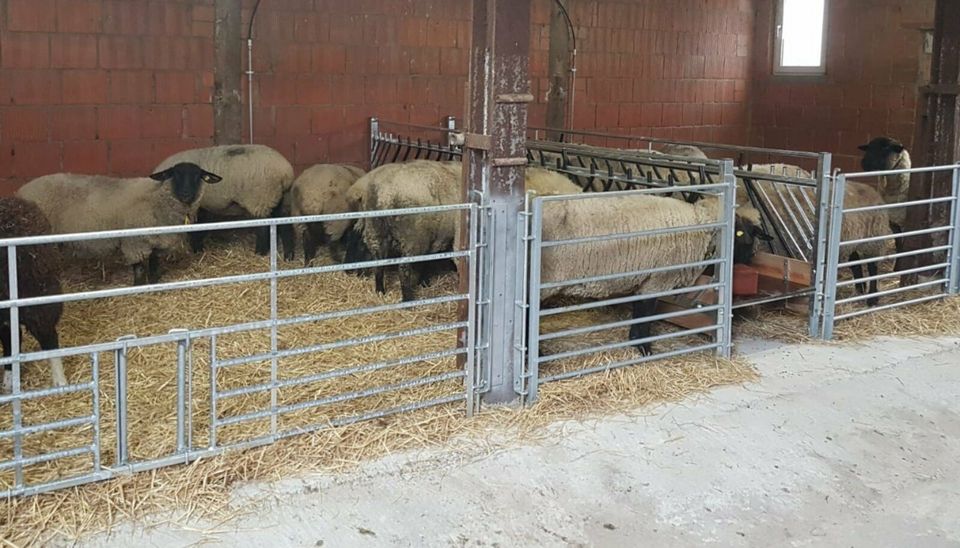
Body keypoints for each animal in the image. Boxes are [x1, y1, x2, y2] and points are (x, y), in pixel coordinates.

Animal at [16, 163, 223, 284]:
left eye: (198, 176)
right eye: (175, 174)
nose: (187, 194)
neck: (156, 199)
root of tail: (21, 191)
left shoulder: (156, 241)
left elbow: (154, 264)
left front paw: (154, 282)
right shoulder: (134, 243)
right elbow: (139, 269)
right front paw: (139, 287)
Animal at [154, 143, 294, 260]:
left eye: (196, 177)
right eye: (176, 176)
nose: (186, 194)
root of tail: (285, 172)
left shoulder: (195, 206)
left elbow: (195, 229)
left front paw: (196, 249)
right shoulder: (200, 207)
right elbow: (199, 227)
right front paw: (198, 249)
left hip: (260, 199)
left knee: (263, 229)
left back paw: (259, 253)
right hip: (279, 198)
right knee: (285, 224)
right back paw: (288, 256)